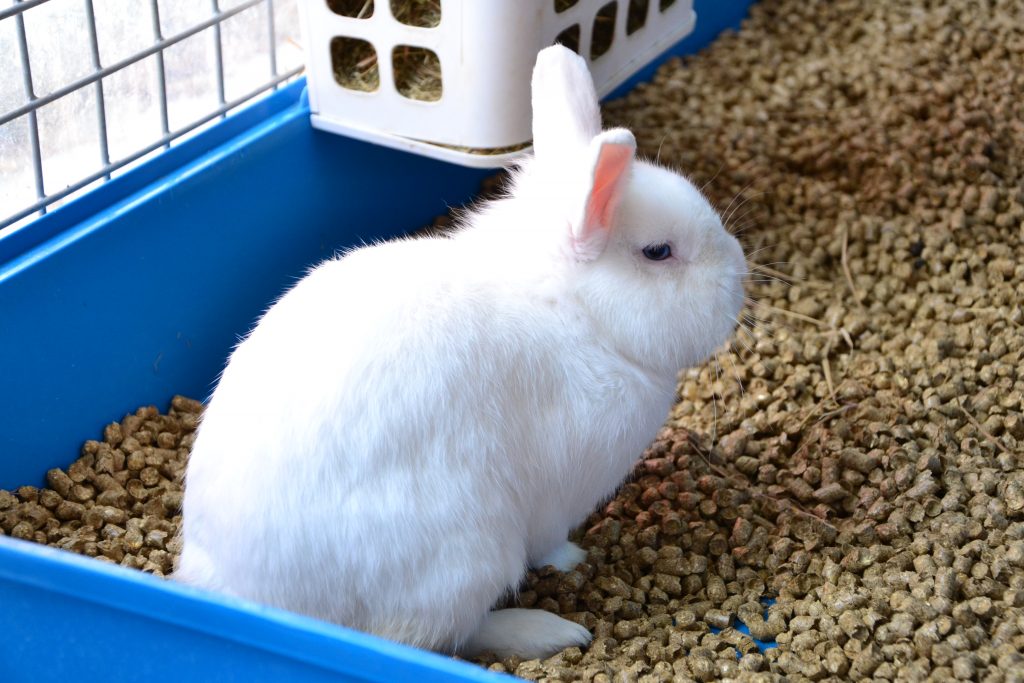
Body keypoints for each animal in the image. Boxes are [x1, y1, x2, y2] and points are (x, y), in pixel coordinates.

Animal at [175, 44, 746, 661]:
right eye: (658, 252)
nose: (739, 274)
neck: (573, 309)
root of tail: (246, 597)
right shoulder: (560, 493)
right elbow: (550, 543)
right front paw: (574, 559)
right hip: (469, 556)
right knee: (440, 634)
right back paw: (548, 630)